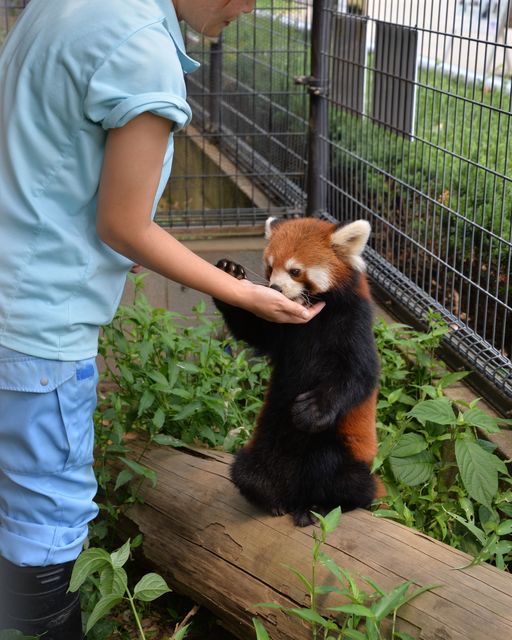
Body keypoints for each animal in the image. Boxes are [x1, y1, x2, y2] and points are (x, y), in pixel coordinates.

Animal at [213, 215, 384, 524]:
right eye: (270, 267)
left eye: (295, 271)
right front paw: (229, 274)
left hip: (343, 454)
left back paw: (321, 506)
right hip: (260, 452)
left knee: (338, 472)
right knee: (246, 471)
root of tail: (292, 492)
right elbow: (251, 330)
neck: (313, 319)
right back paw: (272, 501)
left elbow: (359, 375)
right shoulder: (280, 332)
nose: (275, 289)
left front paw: (312, 410)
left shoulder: (354, 322)